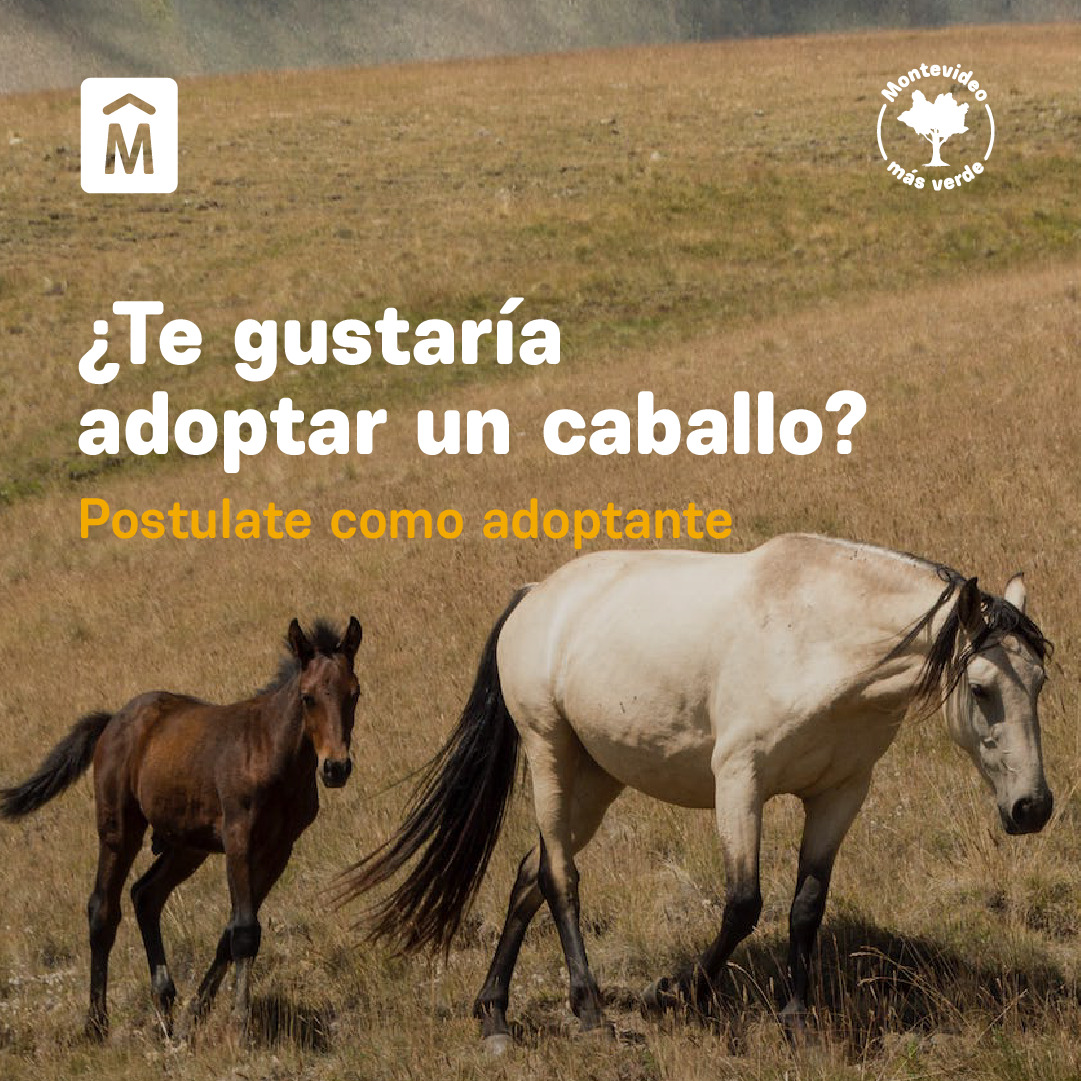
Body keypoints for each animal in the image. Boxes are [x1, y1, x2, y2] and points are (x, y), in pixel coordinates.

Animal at [1, 616, 363, 1042]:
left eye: (354, 694)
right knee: (103, 909)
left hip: (188, 846)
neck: (272, 752)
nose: (335, 768)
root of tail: (114, 720)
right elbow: (244, 931)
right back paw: (96, 1023)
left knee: (146, 894)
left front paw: (197, 1013)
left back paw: (166, 1004)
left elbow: (232, 932)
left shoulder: (279, 849)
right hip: (119, 829)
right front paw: (239, 1023)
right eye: (307, 697)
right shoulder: (240, 839)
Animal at [337, 535, 1053, 1049]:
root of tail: (537, 595)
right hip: (550, 756)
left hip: (598, 777)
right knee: (560, 877)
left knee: (528, 874)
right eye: (982, 688)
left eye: (1041, 682)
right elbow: (743, 903)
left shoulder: (841, 792)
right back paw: (592, 1013)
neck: (817, 636)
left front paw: (798, 1021)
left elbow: (806, 906)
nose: (1033, 808)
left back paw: (494, 1014)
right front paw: (678, 996)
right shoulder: (740, 780)